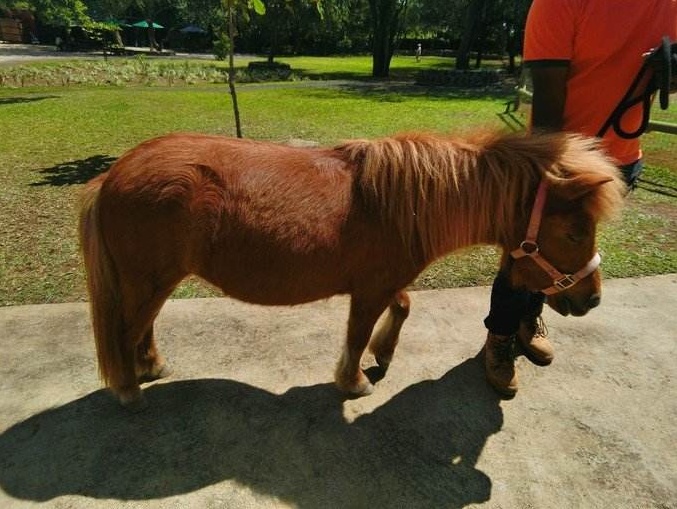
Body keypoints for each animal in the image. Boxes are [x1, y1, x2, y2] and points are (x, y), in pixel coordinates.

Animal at [78, 131, 624, 408]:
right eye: (576, 232)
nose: (593, 298)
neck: (399, 202)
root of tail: (113, 174)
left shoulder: (384, 282)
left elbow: (403, 307)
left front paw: (384, 354)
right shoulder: (368, 291)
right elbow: (357, 334)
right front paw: (354, 379)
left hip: (157, 281)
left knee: (142, 327)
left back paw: (151, 367)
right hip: (149, 280)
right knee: (126, 330)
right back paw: (127, 388)